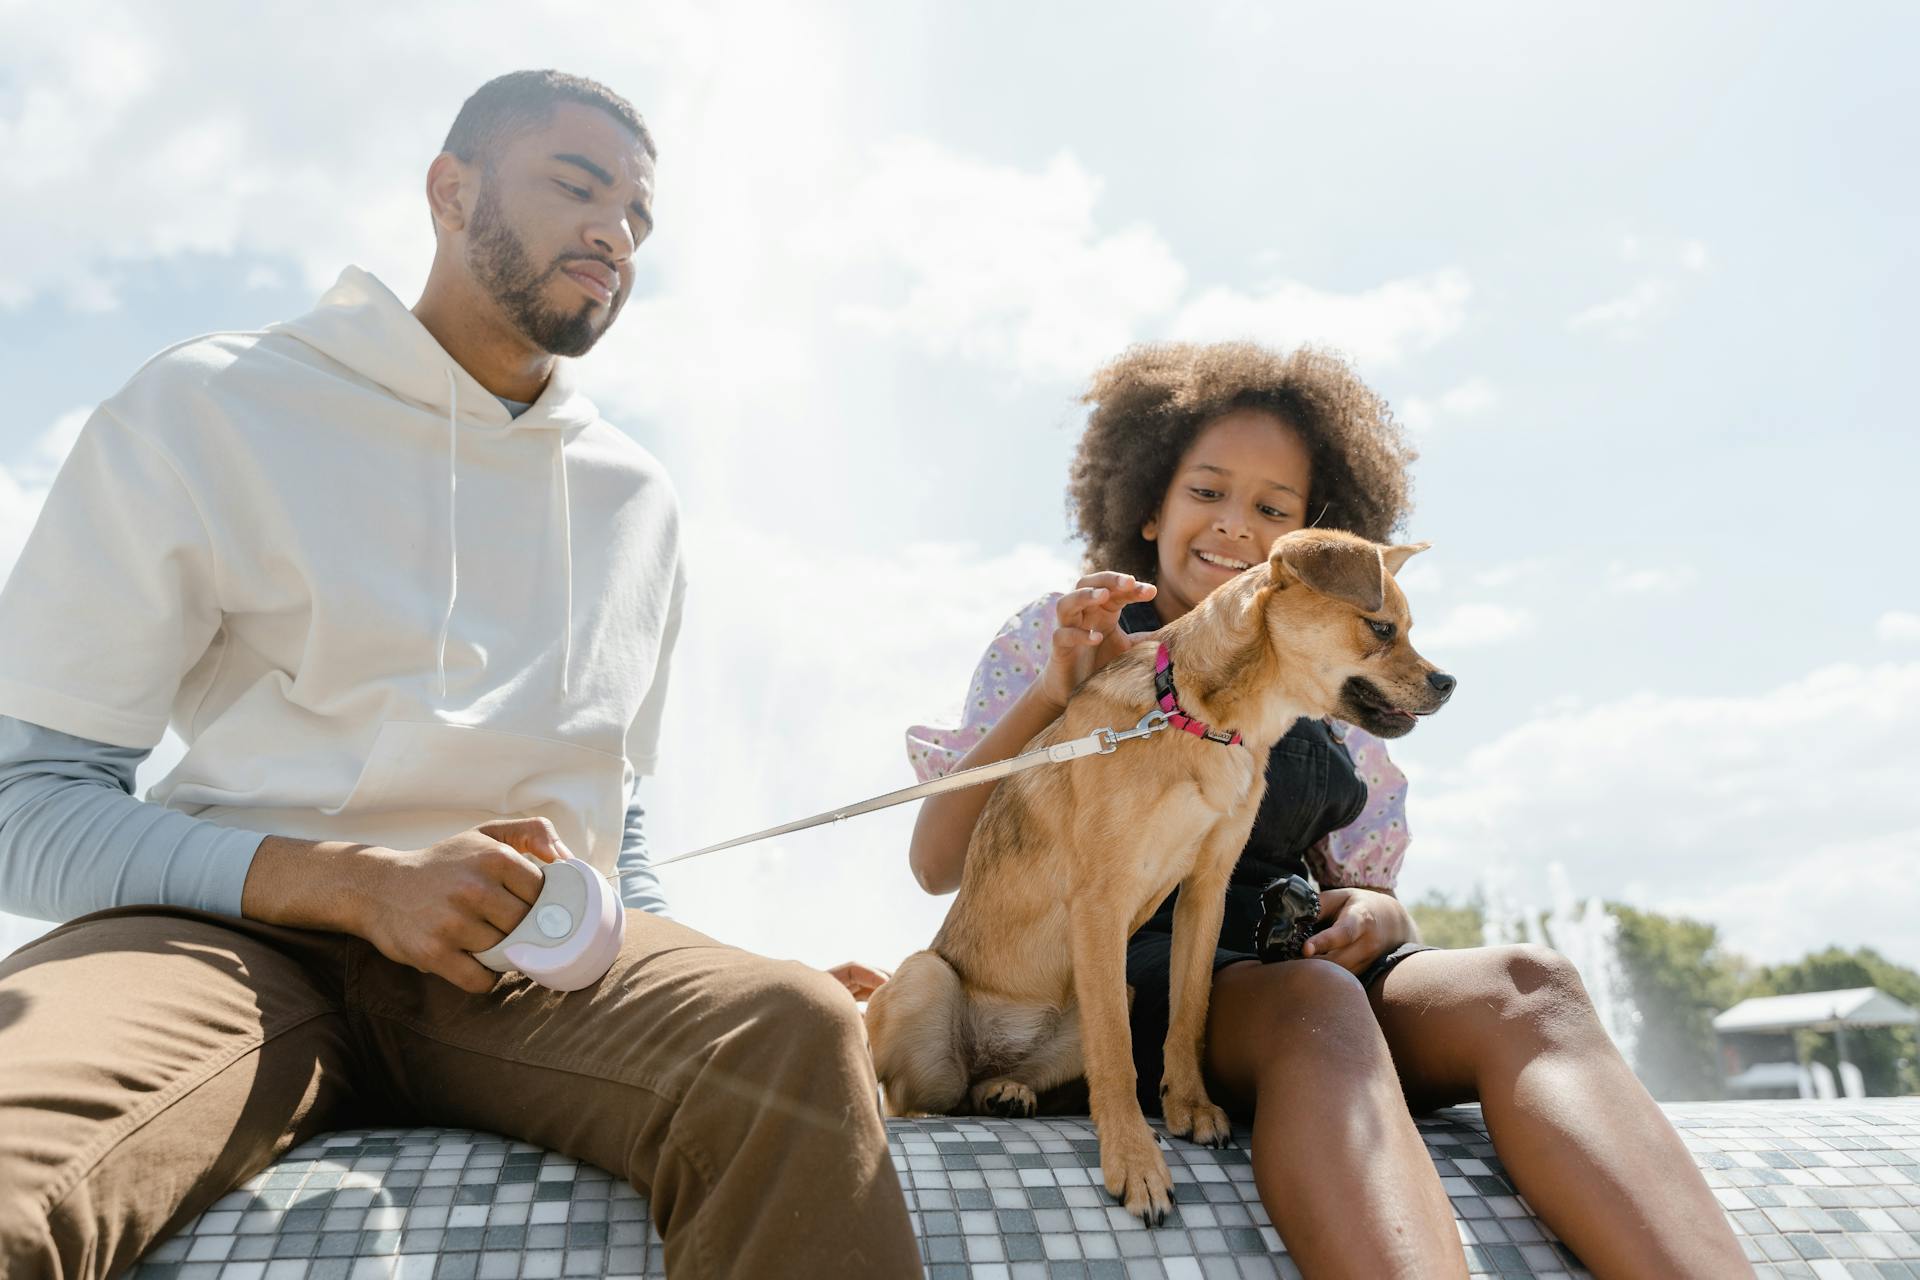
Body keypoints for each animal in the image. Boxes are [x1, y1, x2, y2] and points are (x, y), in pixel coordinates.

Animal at [864, 529, 1443, 1220]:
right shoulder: (1100, 900)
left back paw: (1007, 1091)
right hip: (925, 981)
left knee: (987, 1084)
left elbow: (1188, 1015)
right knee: (915, 1100)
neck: (1198, 721)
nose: (1449, 682)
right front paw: (1135, 1161)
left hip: (1105, 999)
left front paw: (1188, 1106)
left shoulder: (1205, 890)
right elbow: (1116, 1057)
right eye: (1381, 628)